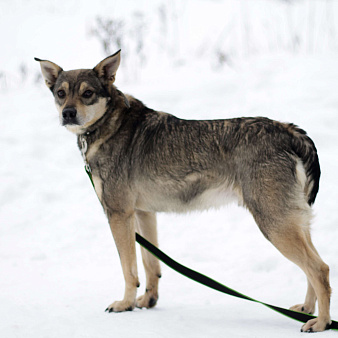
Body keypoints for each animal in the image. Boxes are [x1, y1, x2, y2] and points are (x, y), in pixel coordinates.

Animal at [35, 50, 332, 332]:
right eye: (61, 94)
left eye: (87, 93)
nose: (68, 114)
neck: (109, 124)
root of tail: (289, 131)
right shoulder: (143, 213)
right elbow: (151, 266)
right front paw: (148, 302)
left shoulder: (118, 214)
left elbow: (129, 269)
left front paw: (125, 304)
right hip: (293, 223)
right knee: (315, 267)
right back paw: (306, 310)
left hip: (274, 224)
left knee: (320, 269)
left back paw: (321, 323)